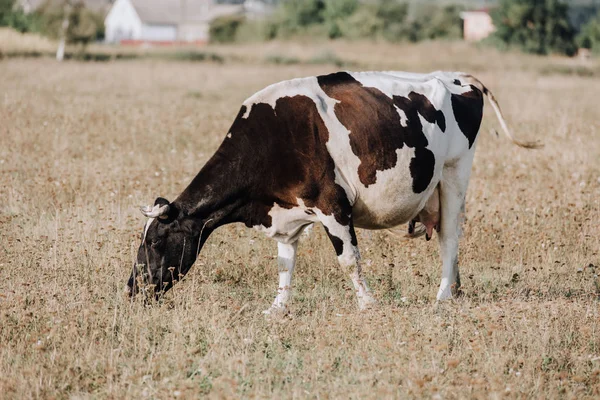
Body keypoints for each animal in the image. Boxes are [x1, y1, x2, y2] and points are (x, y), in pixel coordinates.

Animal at [127, 69, 540, 312]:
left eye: (155, 242)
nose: (133, 289)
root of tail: (455, 76)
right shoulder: (286, 210)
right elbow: (285, 263)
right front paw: (278, 309)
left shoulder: (332, 204)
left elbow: (349, 259)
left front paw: (368, 304)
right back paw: (455, 290)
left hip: (454, 174)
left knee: (451, 237)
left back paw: (442, 296)